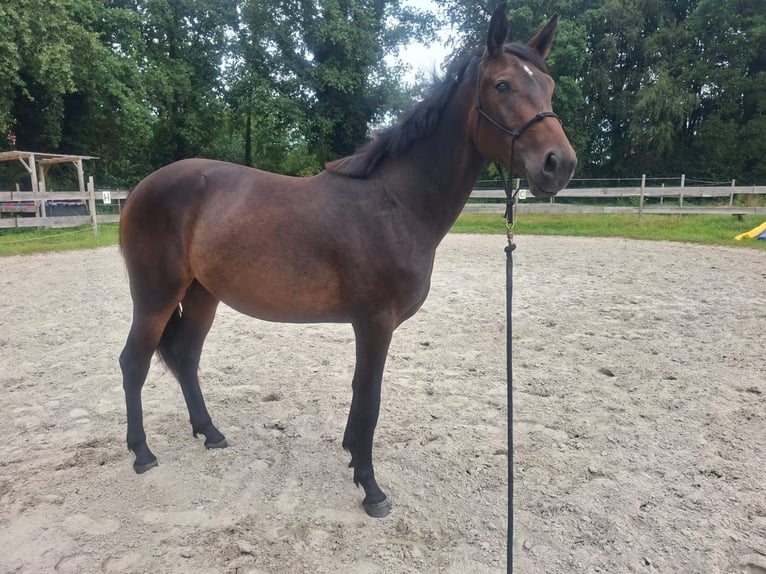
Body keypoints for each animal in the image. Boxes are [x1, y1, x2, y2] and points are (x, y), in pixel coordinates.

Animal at [118, 4, 576, 518]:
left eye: (549, 85)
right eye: (501, 85)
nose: (559, 163)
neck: (396, 202)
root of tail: (140, 189)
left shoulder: (370, 324)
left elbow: (360, 394)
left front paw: (352, 456)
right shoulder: (375, 321)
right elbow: (370, 396)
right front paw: (371, 487)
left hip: (202, 296)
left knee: (185, 357)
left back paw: (210, 433)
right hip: (155, 296)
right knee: (134, 362)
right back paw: (142, 453)